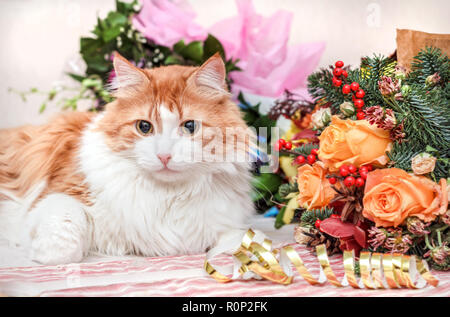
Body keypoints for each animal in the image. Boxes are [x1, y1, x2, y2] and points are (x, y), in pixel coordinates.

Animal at [0, 52, 253, 264]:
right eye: (144, 127)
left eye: (190, 126)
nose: (164, 156)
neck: (167, 196)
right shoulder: (58, 192)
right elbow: (67, 227)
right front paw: (45, 253)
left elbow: (241, 240)